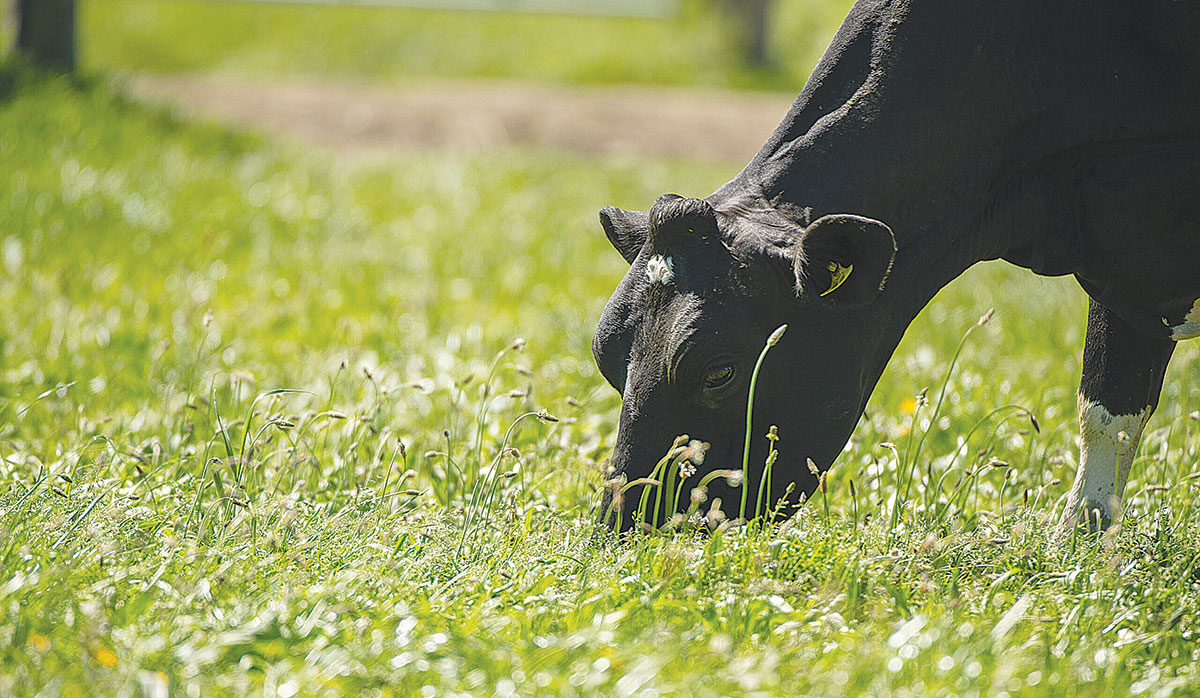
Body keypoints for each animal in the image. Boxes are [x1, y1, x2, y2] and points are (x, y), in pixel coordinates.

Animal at [592, 0, 1200, 539]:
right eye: (606, 358)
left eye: (720, 371)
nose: (624, 529)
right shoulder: (1127, 268)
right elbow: (1106, 411)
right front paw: (1081, 548)